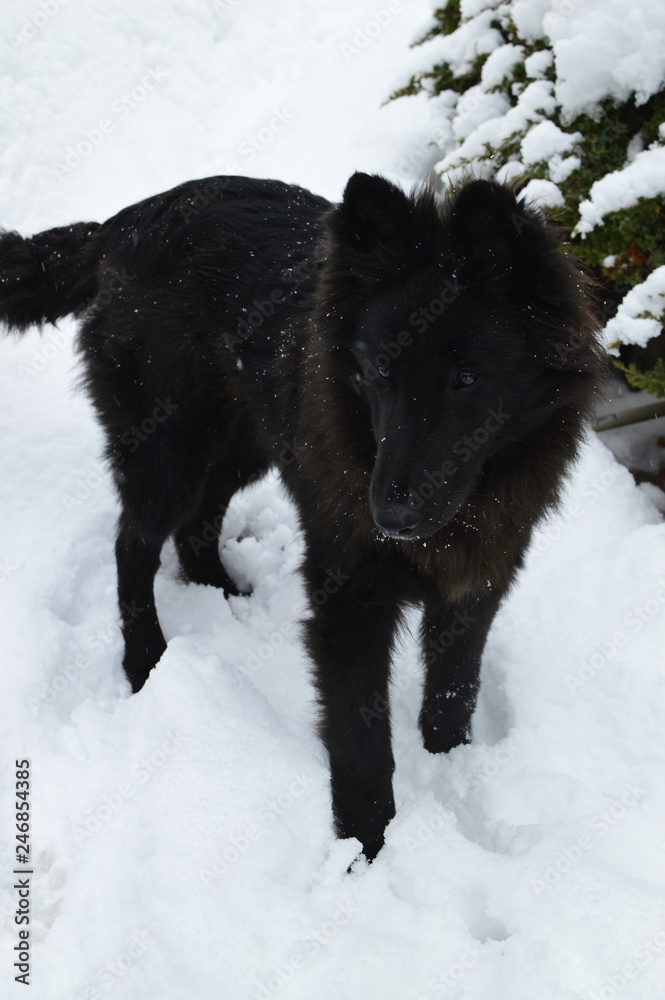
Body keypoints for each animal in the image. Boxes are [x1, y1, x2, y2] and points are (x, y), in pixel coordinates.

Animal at [0, 174, 600, 860]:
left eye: (467, 378)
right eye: (381, 372)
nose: (388, 516)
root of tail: (122, 223)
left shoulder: (477, 584)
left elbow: (455, 691)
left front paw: (450, 767)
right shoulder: (348, 601)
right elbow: (361, 741)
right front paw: (365, 850)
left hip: (246, 440)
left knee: (197, 521)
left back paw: (221, 590)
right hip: (169, 449)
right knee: (133, 544)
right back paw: (146, 661)